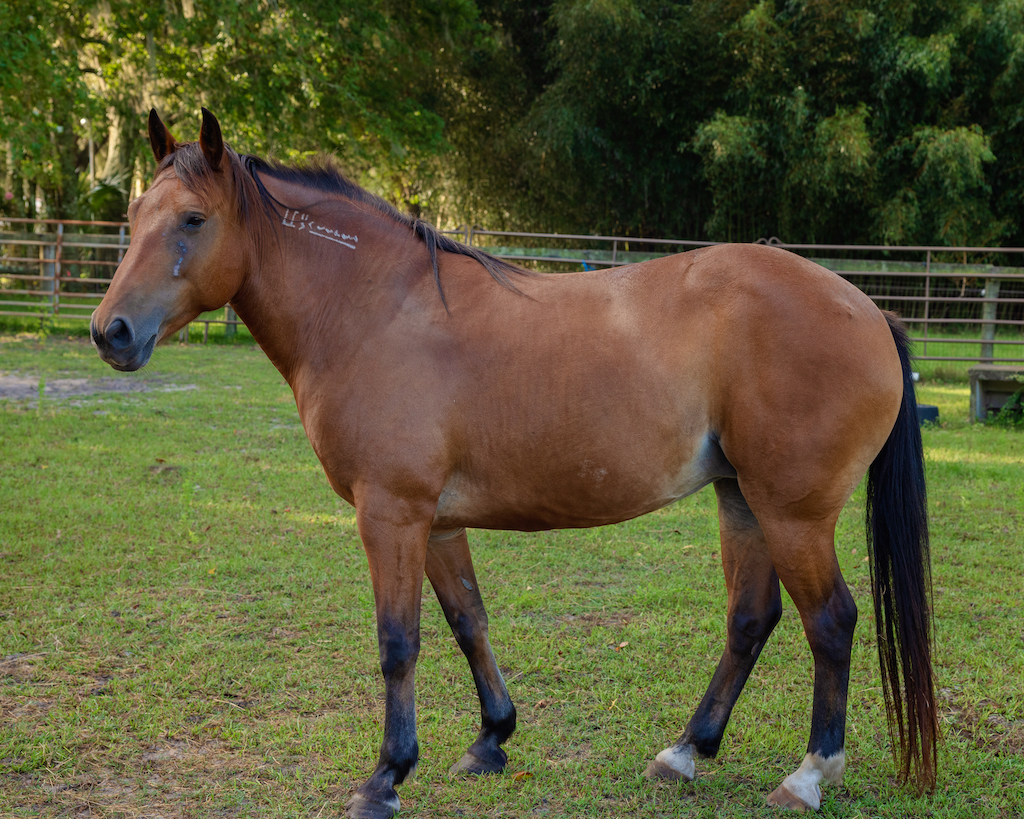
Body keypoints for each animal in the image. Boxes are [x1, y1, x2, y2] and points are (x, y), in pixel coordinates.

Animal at [91, 109, 937, 818]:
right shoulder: (432, 521)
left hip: (793, 512)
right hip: (742, 499)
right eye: (133, 219)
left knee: (831, 621)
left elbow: (398, 642)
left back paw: (808, 774)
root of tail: (870, 309)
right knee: (750, 621)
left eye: (193, 220)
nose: (111, 332)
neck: (377, 309)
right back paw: (684, 752)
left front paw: (385, 777)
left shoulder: (390, 511)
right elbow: (467, 620)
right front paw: (491, 737)